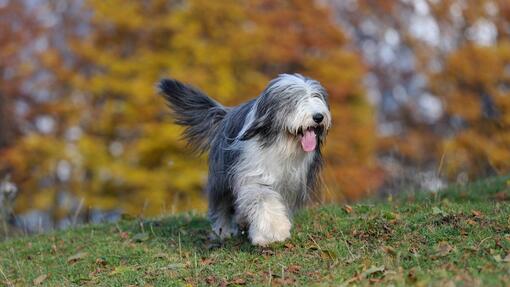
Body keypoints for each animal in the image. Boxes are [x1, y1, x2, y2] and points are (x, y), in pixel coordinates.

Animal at [161, 73, 332, 245]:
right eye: (294, 100)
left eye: (317, 96)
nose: (318, 117)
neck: (282, 146)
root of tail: (226, 113)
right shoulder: (253, 173)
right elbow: (263, 199)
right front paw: (272, 231)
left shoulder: (292, 184)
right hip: (221, 177)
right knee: (221, 204)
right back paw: (223, 231)